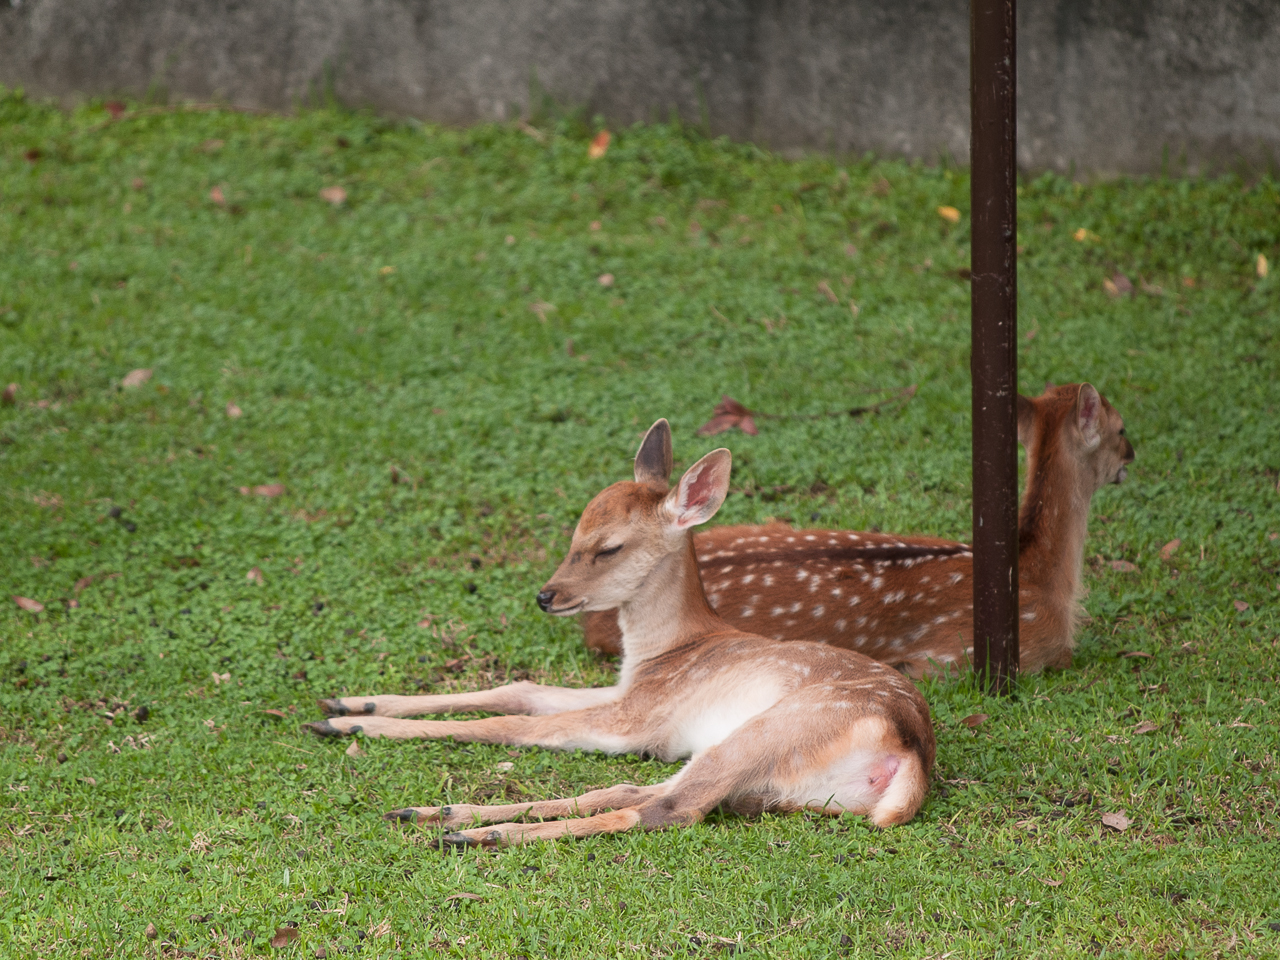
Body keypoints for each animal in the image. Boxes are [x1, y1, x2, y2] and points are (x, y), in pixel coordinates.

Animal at [305, 420, 935, 846]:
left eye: (608, 547)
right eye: (573, 532)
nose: (546, 596)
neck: (662, 653)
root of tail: (907, 762)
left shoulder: (640, 717)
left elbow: (508, 724)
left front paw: (352, 722)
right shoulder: (626, 690)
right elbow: (522, 689)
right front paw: (348, 703)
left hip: (769, 731)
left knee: (665, 809)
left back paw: (475, 832)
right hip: (765, 780)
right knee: (638, 792)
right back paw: (435, 814)